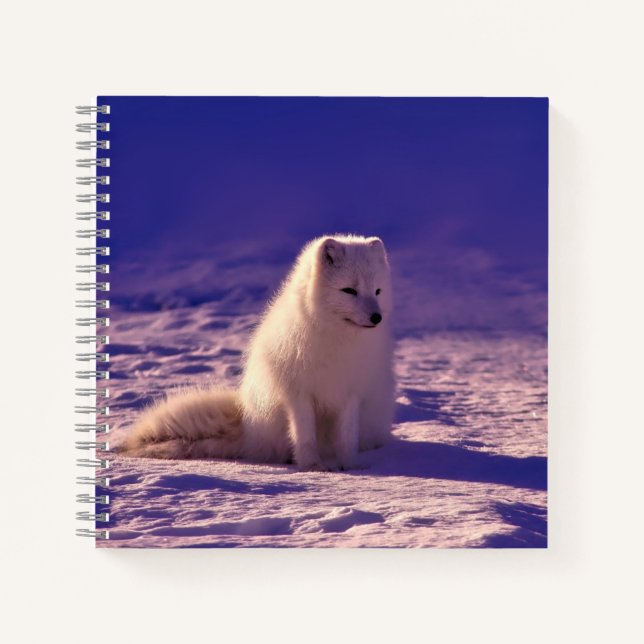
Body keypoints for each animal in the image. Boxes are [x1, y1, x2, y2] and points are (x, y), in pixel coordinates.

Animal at [120, 234, 395, 470]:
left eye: (377, 291)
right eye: (349, 290)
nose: (377, 317)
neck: (337, 341)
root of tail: (248, 427)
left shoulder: (351, 393)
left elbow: (347, 438)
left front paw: (350, 466)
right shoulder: (298, 393)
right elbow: (305, 435)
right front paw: (312, 466)